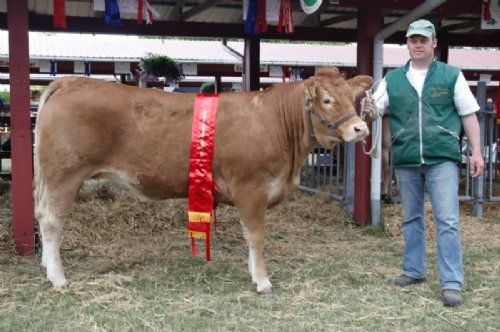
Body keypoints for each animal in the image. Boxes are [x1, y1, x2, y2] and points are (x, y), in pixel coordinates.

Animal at [35, 67, 372, 294]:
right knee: (52, 223)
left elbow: (249, 237)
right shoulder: (251, 189)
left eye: (353, 97)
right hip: (64, 175)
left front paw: (254, 274)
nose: (360, 129)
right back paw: (58, 278)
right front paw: (263, 281)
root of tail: (69, 81)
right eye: (327, 100)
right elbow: (256, 236)